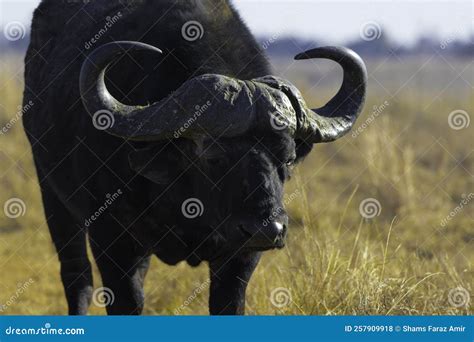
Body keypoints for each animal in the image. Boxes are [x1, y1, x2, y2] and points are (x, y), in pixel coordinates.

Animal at [22, 0, 366, 316]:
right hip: (53, 196)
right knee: (76, 276)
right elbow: (125, 302)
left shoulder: (240, 255)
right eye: (212, 156)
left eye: (288, 157)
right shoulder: (112, 239)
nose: (267, 229)